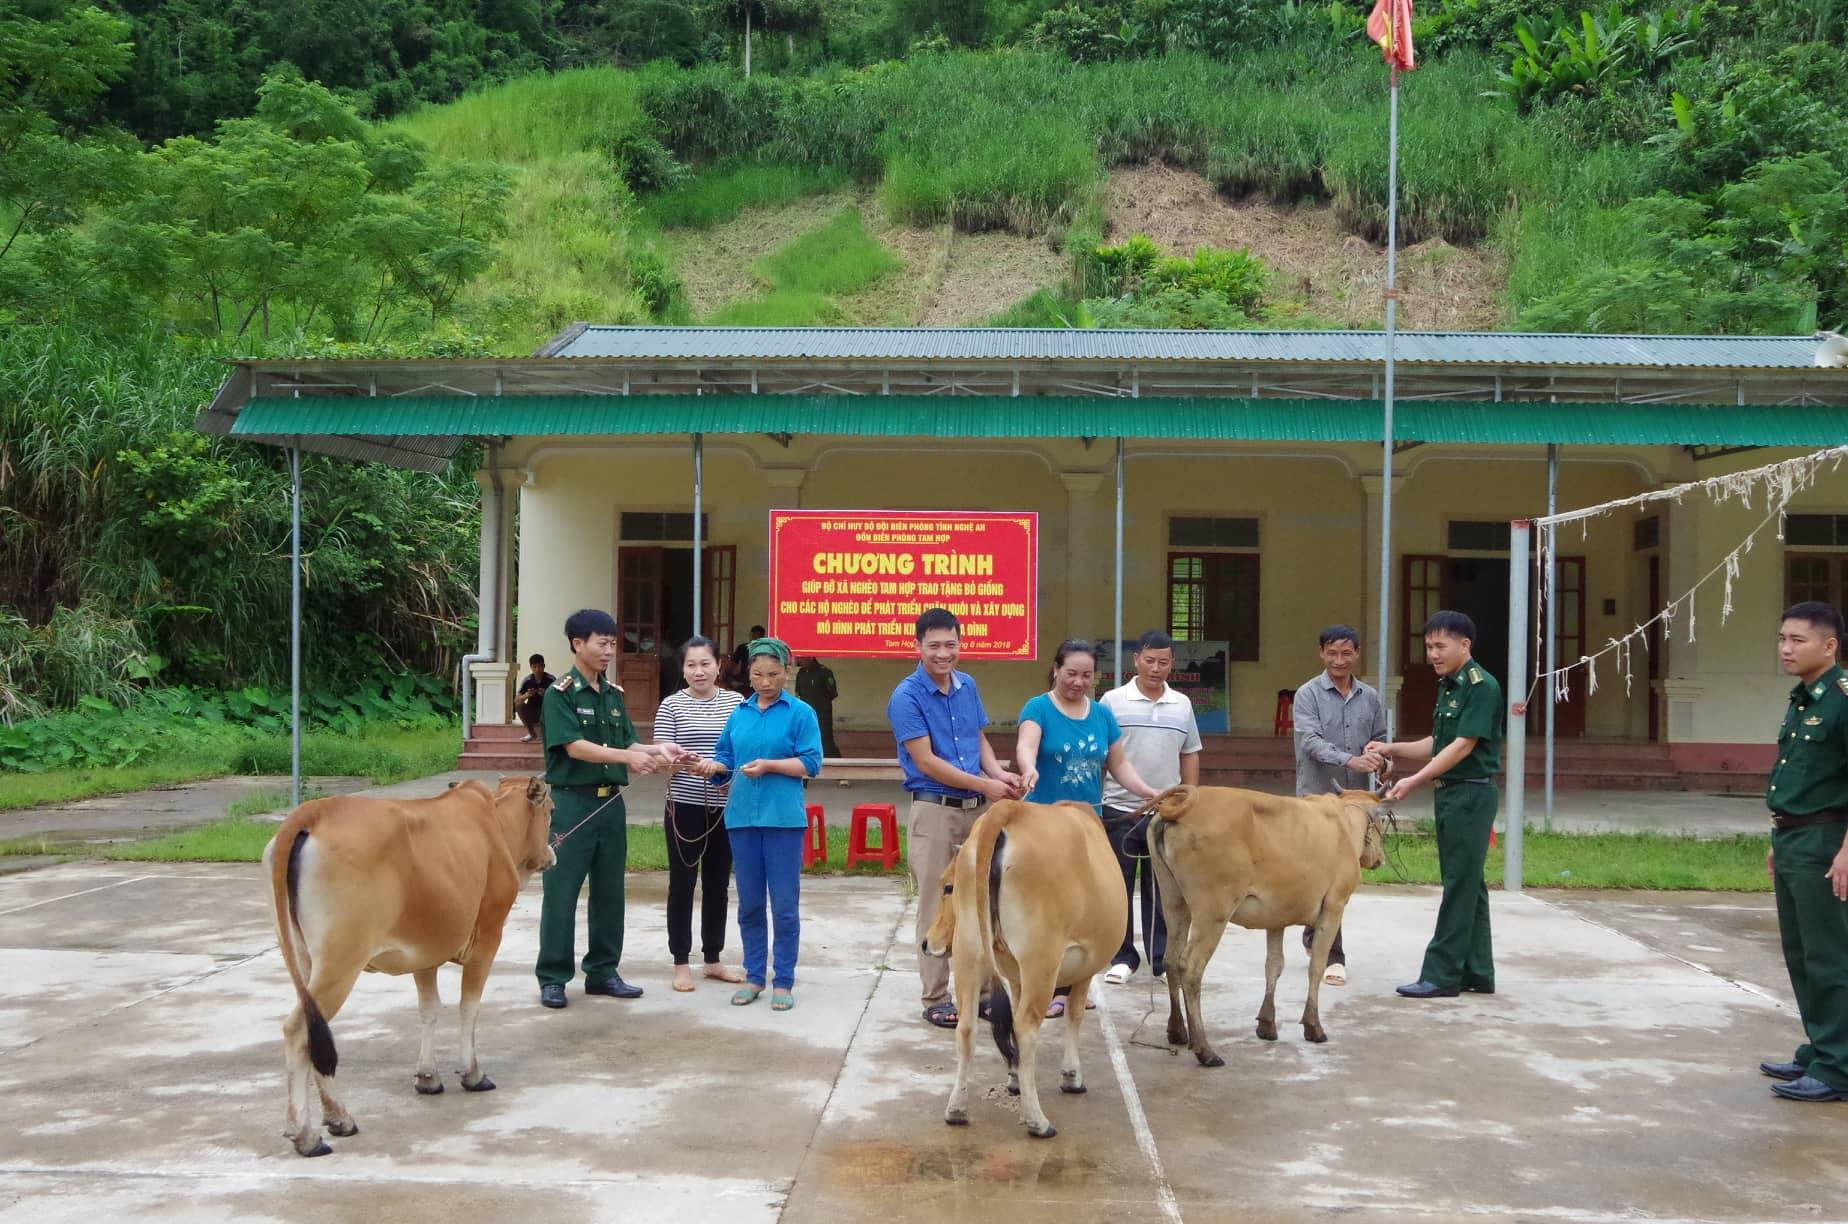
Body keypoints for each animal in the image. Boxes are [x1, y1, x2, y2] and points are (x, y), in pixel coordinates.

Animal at [264, 776, 554, 1161]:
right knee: (298, 1032)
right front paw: (473, 1074)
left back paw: (338, 1118)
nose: (551, 853)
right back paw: (309, 1135)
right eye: (551, 810)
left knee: (316, 1031)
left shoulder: (424, 953)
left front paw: (428, 1077)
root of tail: (313, 811)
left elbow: (429, 1010)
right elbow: (469, 1008)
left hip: (304, 959)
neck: (494, 824)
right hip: (341, 961)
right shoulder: (488, 938)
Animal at [924, 806, 1123, 1138]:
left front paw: (1015, 1078)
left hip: (968, 953)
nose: (925, 942)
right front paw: (1072, 1077)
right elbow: (1074, 1015)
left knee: (967, 1028)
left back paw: (956, 1110)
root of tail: (1008, 809)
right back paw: (1038, 1122)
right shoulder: (1083, 968)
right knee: (1026, 1027)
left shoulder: (1015, 976)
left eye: (948, 887)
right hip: (1040, 961)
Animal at [1138, 791, 1389, 1072]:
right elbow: (1316, 966)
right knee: (1190, 968)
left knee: (1170, 959)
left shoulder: (1276, 917)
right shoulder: (1334, 907)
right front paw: (1313, 1026)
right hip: (1213, 911)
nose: (1380, 858)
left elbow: (1274, 966)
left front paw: (1267, 1024)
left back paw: (1178, 1031)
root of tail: (1182, 803)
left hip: (1173, 899)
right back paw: (1204, 1049)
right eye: (1382, 822)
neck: (1343, 822)